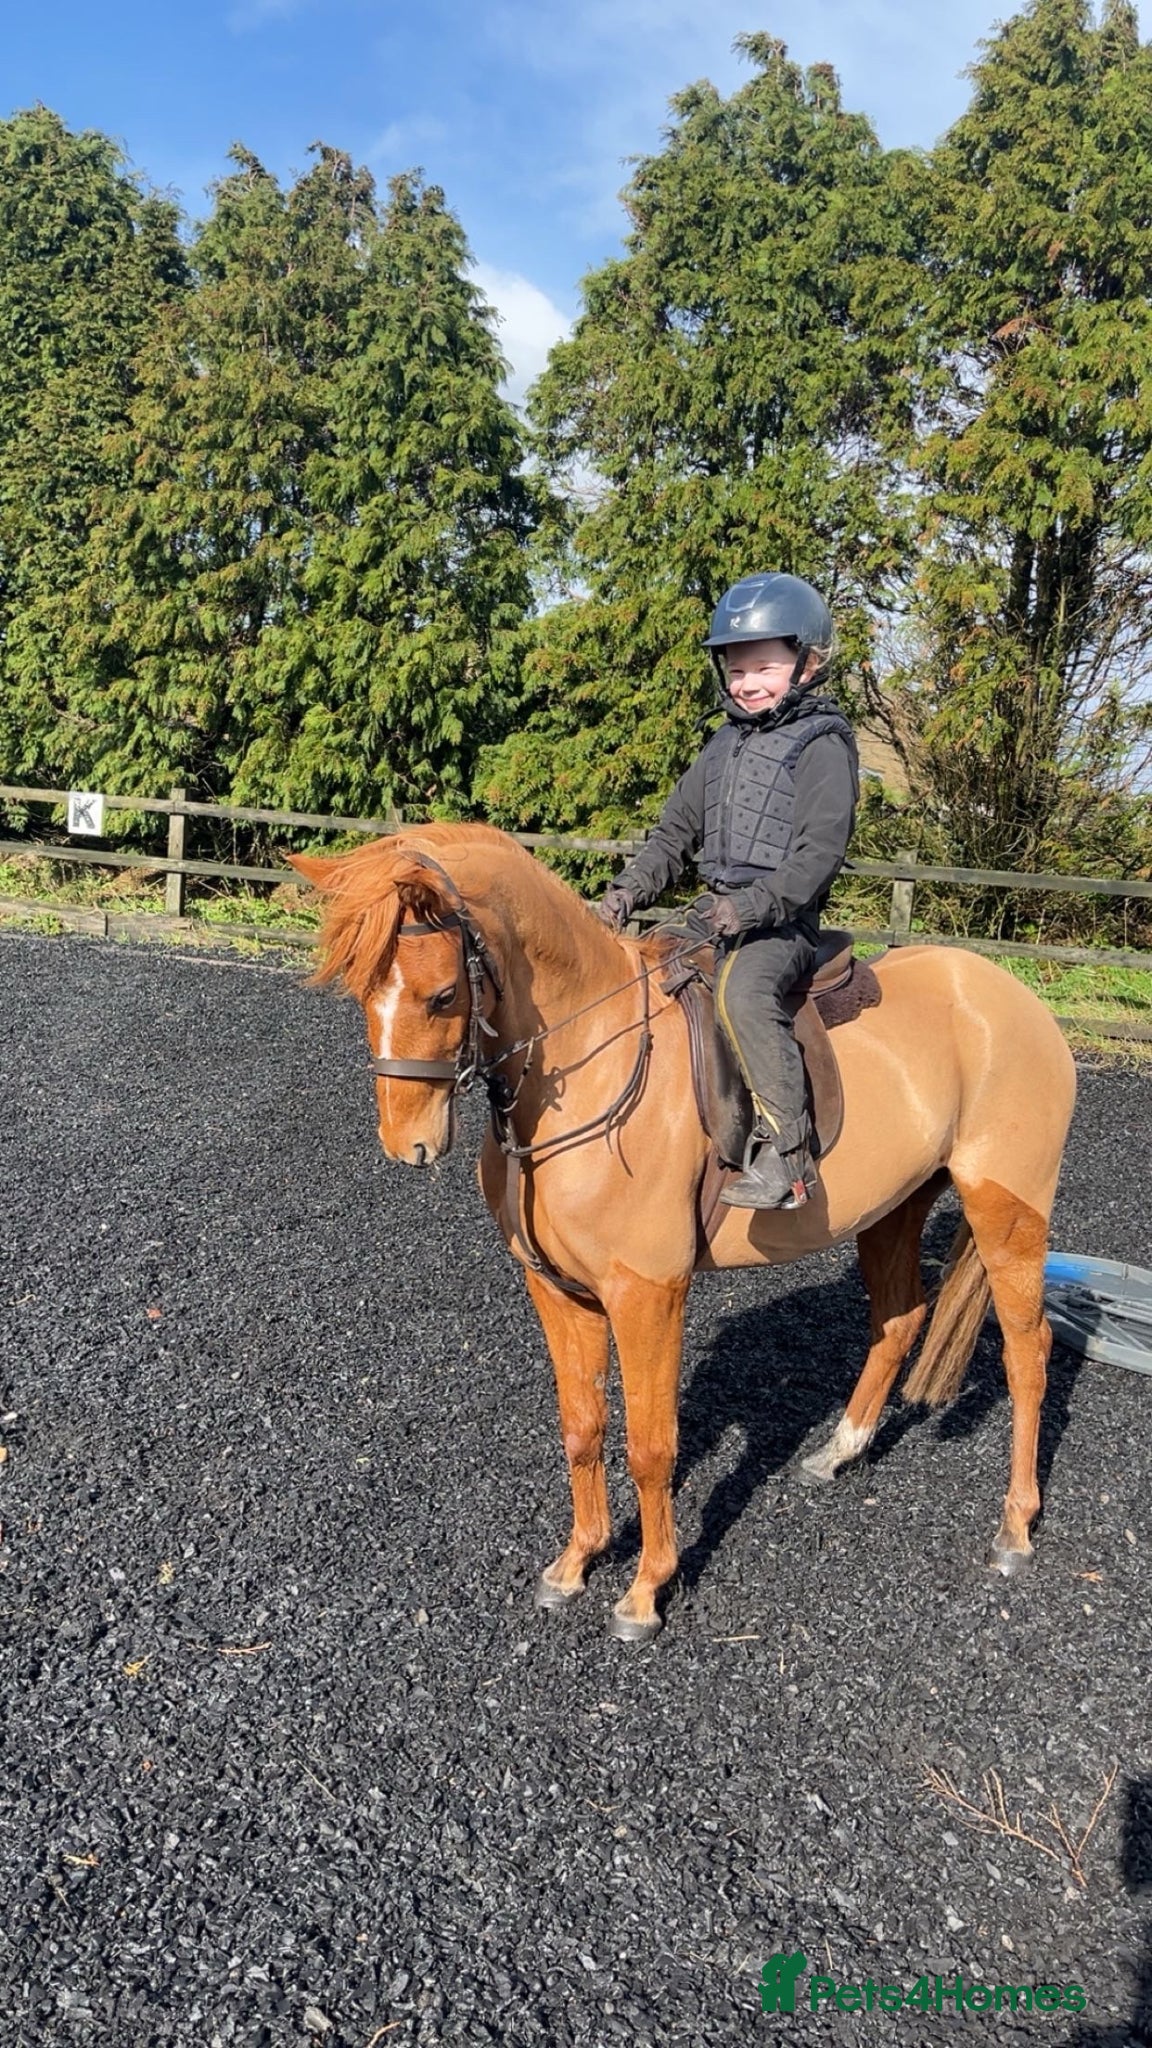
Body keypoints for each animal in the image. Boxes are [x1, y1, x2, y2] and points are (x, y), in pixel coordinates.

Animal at [291, 823, 1077, 1644]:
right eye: (362, 993)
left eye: (443, 995)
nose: (406, 1145)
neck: (595, 1061)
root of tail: (1014, 999)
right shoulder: (558, 1290)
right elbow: (583, 1426)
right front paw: (575, 1563)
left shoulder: (649, 1294)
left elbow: (650, 1445)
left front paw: (644, 1591)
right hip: (893, 1208)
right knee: (900, 1317)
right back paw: (839, 1452)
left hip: (1008, 1210)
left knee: (1028, 1351)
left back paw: (1015, 1529)